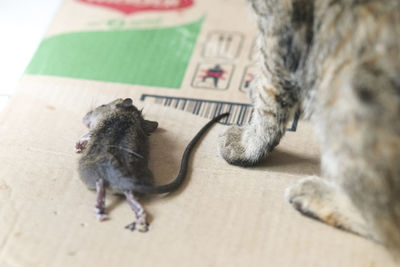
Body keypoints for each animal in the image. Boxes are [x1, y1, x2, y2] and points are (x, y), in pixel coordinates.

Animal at [219, 0, 400, 260]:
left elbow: (269, 93)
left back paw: (318, 196)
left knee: (386, 224)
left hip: (346, 95)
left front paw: (248, 144)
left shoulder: (278, 29)